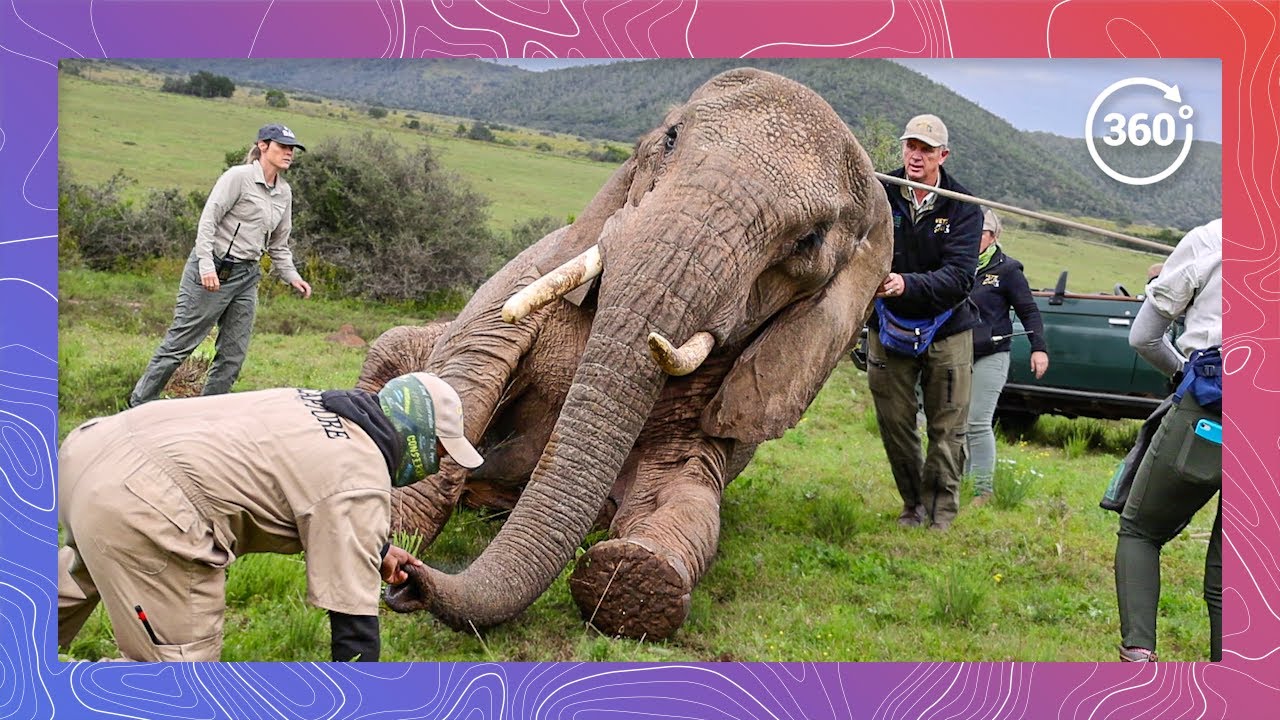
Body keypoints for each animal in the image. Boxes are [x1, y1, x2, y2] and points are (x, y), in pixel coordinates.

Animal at [367, 67, 893, 640]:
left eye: (808, 241)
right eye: (670, 139)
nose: (406, 581)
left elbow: (683, 488)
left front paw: (632, 580)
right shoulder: (537, 265)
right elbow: (470, 371)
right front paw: (391, 524)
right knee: (390, 349)